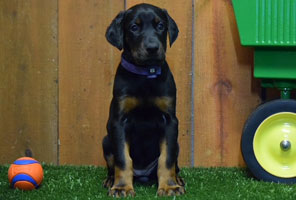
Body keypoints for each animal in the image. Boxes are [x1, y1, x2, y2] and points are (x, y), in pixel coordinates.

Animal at [103, 2, 184, 197]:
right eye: (134, 27)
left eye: (160, 26)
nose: (152, 48)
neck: (145, 75)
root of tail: (143, 175)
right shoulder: (119, 121)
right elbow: (123, 159)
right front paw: (121, 187)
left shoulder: (170, 121)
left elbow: (167, 159)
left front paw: (169, 186)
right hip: (106, 141)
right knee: (113, 164)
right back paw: (110, 180)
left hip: (177, 144)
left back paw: (178, 180)